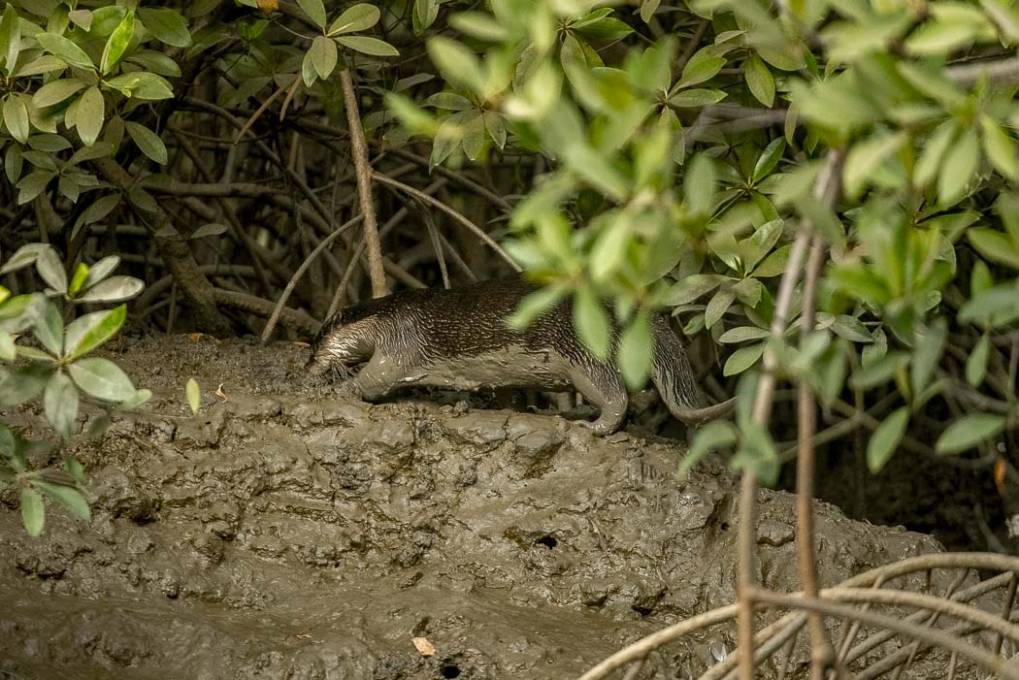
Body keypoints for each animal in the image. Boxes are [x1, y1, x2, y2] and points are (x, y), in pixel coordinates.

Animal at [301, 277, 733, 434]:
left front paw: (339, 389)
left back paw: (592, 426)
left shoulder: (400, 343)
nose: (307, 367)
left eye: (318, 340)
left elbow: (376, 377)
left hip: (583, 355)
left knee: (615, 394)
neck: (388, 317)